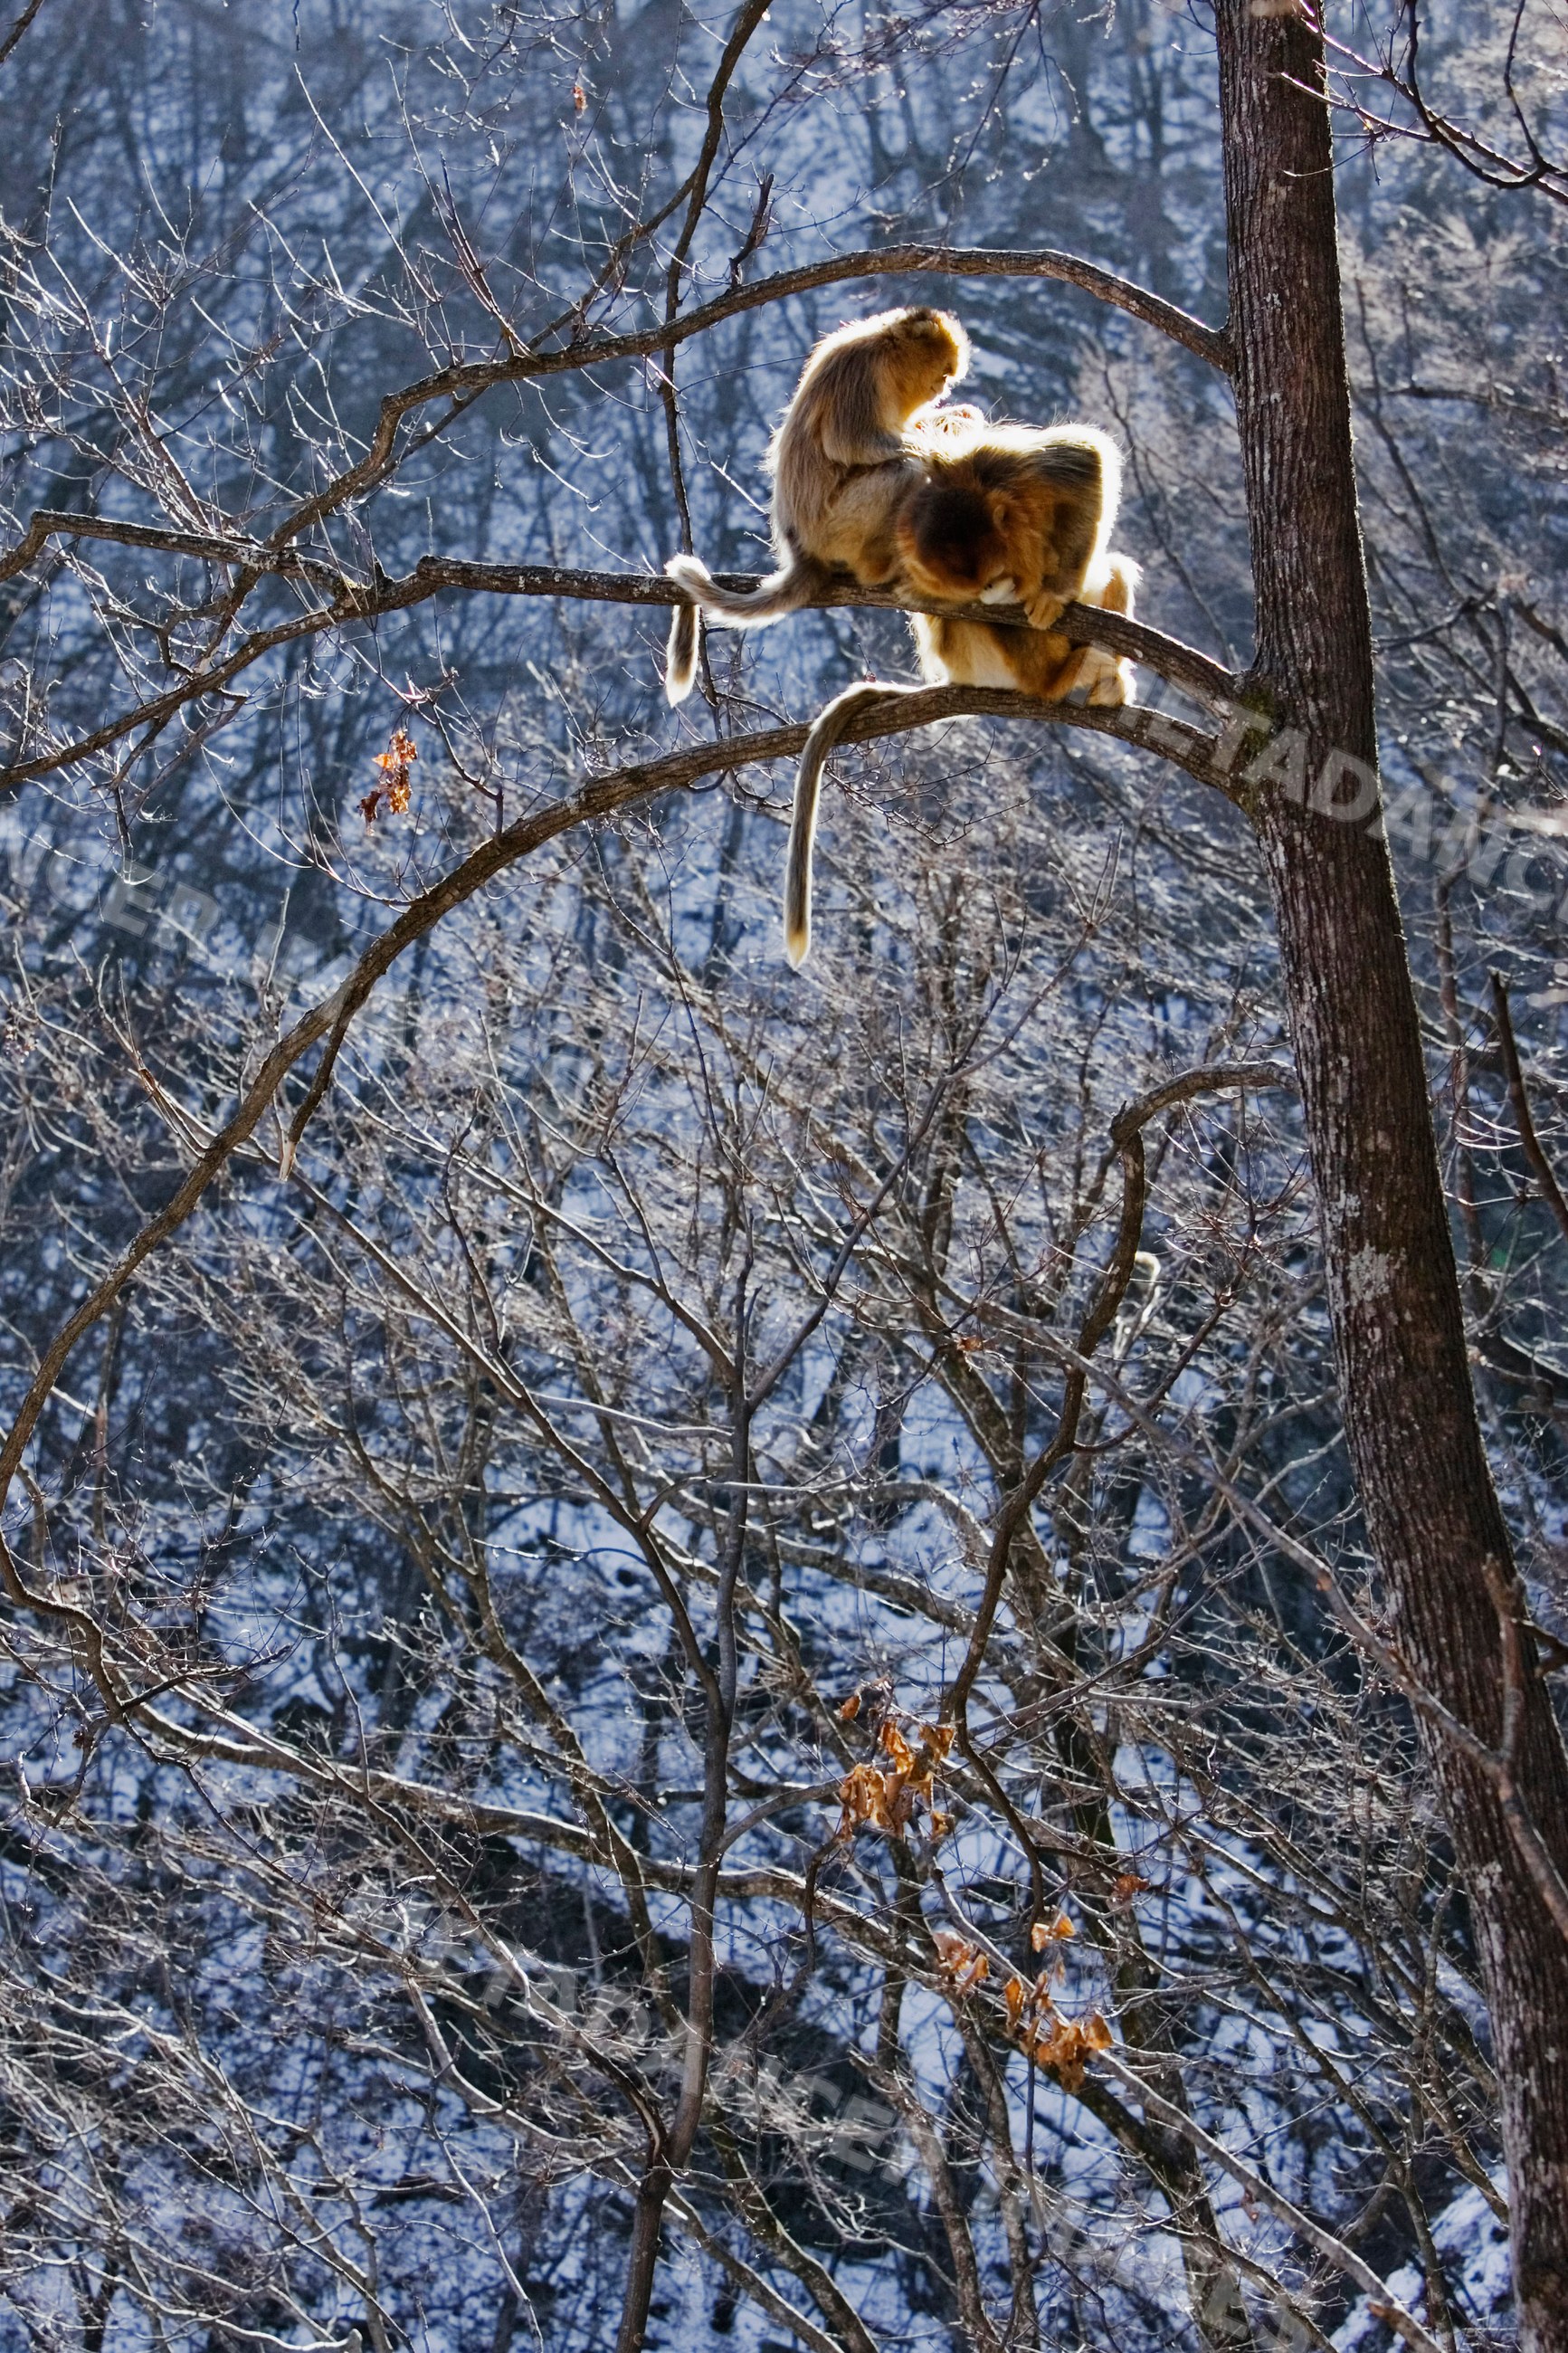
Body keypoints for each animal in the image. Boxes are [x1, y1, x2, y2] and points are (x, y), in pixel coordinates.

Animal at [663, 305, 976, 704]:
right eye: (943, 372)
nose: (943, 388)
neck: (885, 353)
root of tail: (801, 549)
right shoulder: (863, 370)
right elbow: (851, 444)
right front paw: (935, 445)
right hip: (834, 529)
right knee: (904, 469)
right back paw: (878, 568)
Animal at [781, 425, 1139, 968]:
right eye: (987, 582)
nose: (998, 590)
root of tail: (964, 679)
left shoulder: (1003, 466)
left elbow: (1084, 460)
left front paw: (1054, 592)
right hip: (980, 659)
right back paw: (1059, 675)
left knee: (1112, 567)